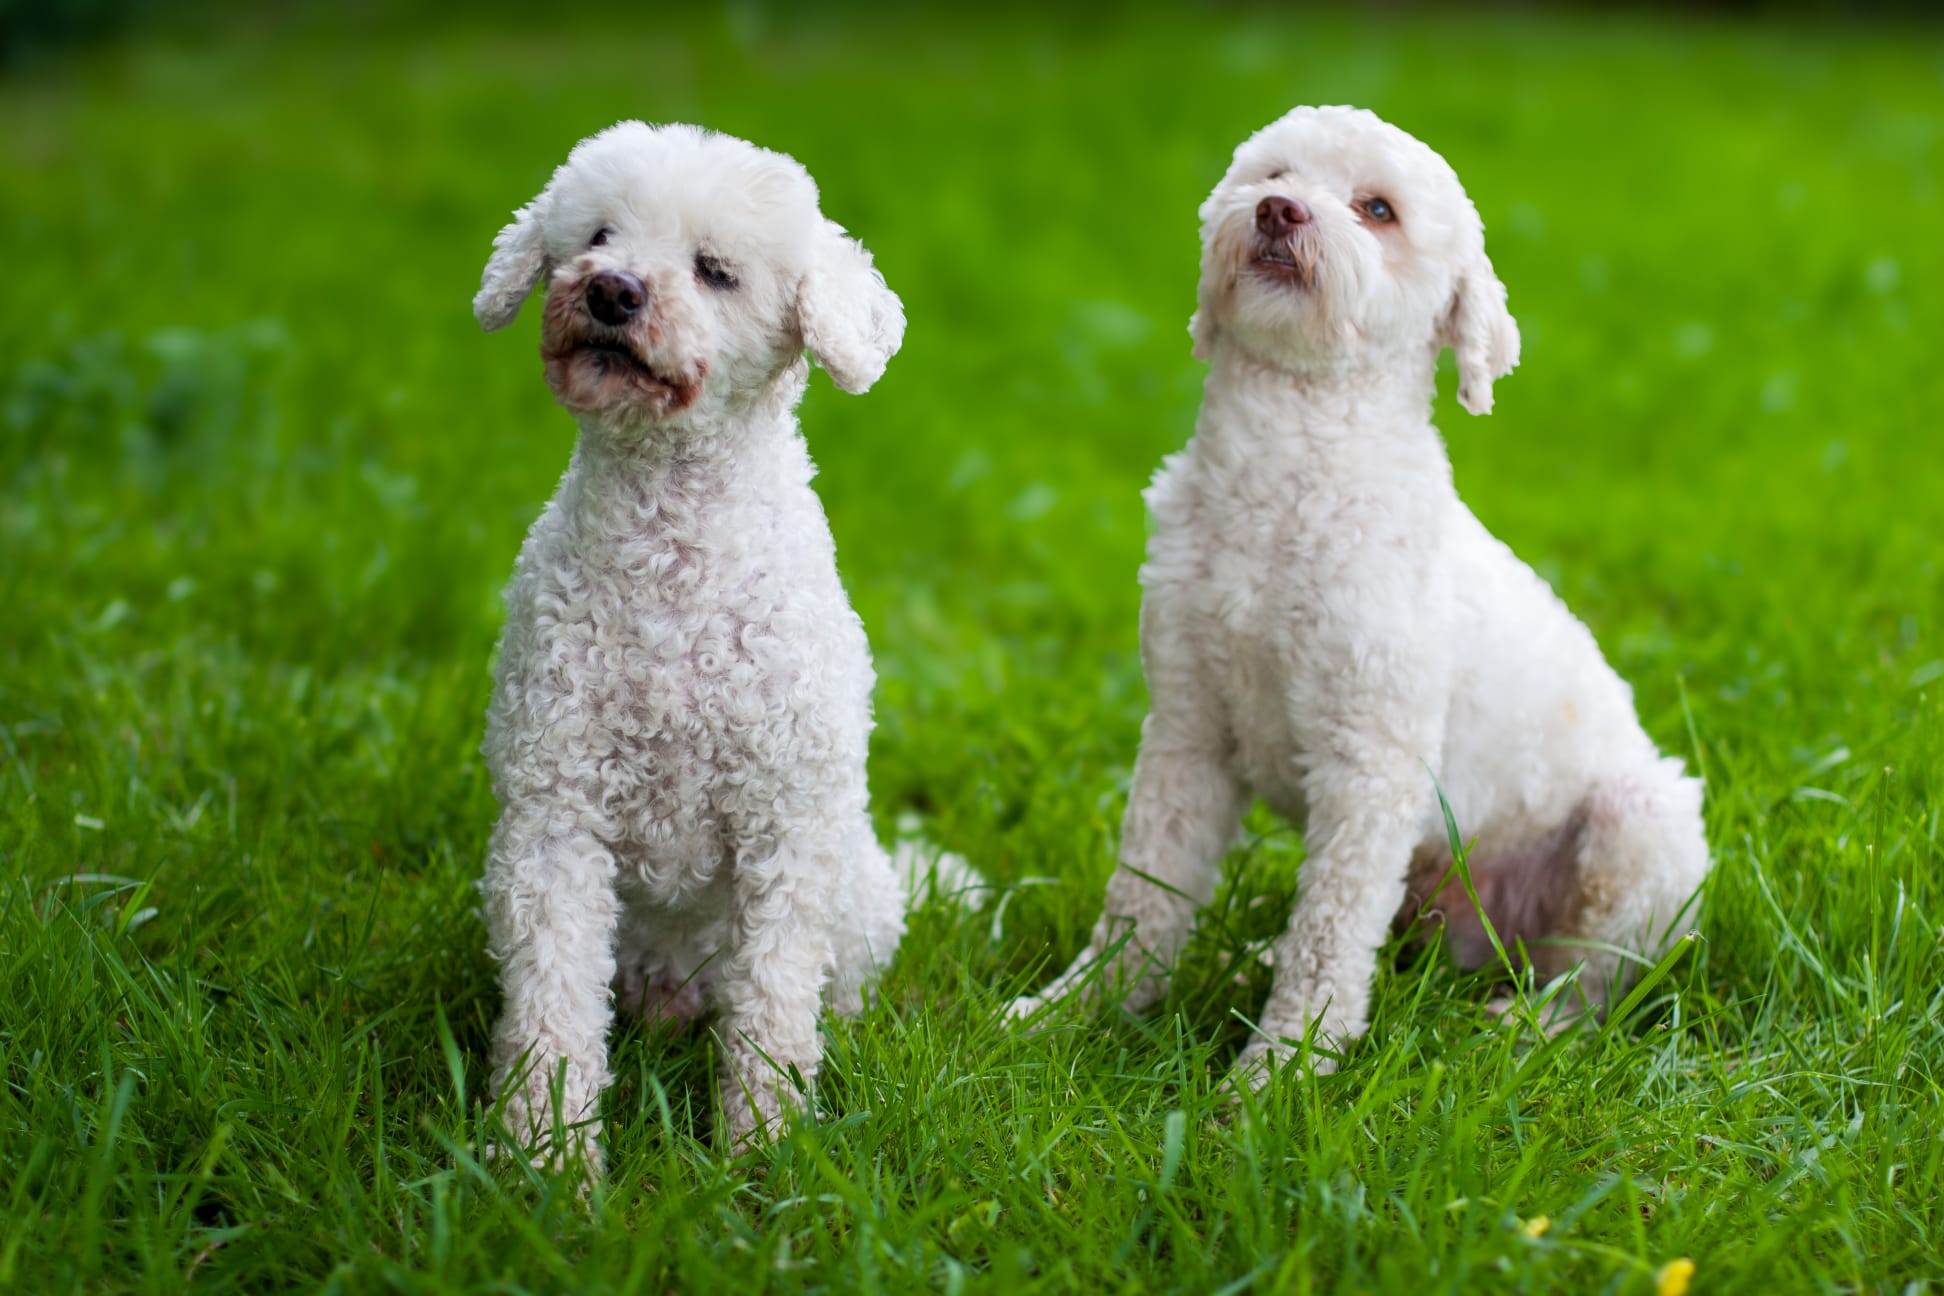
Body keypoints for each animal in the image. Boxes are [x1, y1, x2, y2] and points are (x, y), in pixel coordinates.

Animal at [476, 121, 917, 1165]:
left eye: (715, 270)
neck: (671, 563)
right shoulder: (554, 818)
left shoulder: (785, 827)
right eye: (597, 235)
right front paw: (545, 1161)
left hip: (858, 897)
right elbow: (551, 1012)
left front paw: (762, 1154)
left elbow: (773, 1013)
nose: (610, 291)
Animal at [1010, 106, 1710, 1088]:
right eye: (1272, 173)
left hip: (1645, 836)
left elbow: (1329, 934)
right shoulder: (1187, 730)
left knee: (1597, 980)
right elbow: (1143, 895)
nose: (1277, 212)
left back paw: (1528, 1033)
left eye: (1377, 209)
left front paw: (1280, 1075)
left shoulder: (1370, 763)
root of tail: (1488, 940)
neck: (1285, 468)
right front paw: (1074, 1013)